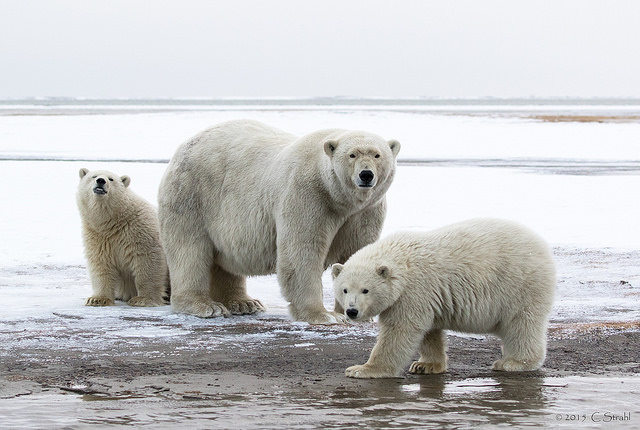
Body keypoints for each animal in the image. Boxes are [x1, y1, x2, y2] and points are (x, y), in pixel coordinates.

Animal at [75, 167, 168, 306]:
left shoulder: (140, 231)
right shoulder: (98, 237)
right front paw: (97, 299)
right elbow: (101, 263)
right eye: (94, 176)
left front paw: (142, 299)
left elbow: (148, 261)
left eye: (111, 179)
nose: (101, 181)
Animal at [159, 119, 400, 324]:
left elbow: (357, 249)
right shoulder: (308, 195)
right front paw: (324, 315)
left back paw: (244, 303)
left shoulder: (365, 211)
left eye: (377, 155)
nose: (366, 175)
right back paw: (205, 305)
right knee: (189, 250)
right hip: (192, 196)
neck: (339, 199)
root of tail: (185, 145)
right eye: (352, 155)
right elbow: (302, 251)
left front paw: (358, 314)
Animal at [332, 220, 556, 378]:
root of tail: (542, 246)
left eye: (365, 290)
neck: (403, 262)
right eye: (344, 290)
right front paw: (425, 365)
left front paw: (362, 369)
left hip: (520, 284)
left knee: (521, 324)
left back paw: (513, 362)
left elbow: (400, 330)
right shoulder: (426, 296)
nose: (352, 311)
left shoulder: (413, 291)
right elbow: (429, 331)